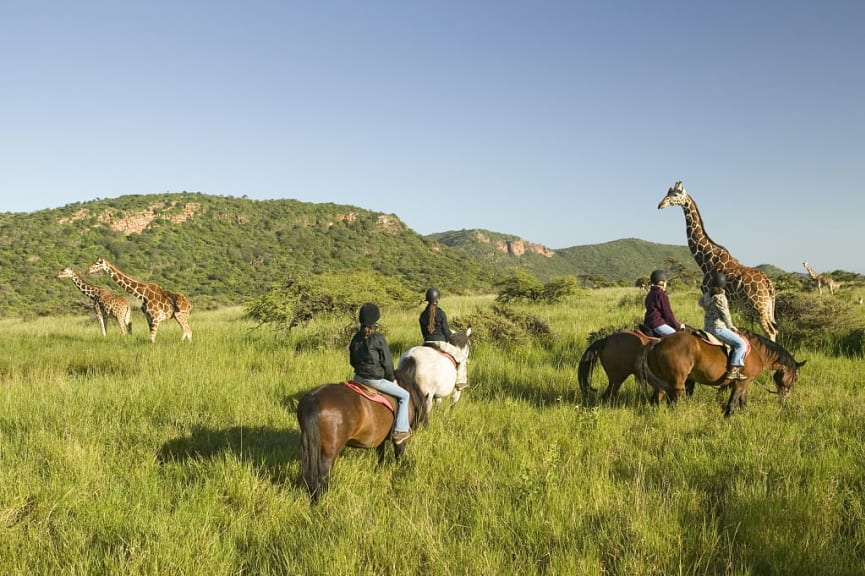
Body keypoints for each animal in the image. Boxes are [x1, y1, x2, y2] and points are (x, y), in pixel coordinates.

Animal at [296, 372, 426, 502]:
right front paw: (397, 470)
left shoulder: (380, 440)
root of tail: (313, 398)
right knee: (322, 475)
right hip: (329, 452)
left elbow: (381, 457)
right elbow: (398, 456)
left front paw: (378, 472)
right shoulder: (401, 440)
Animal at [636, 328, 804, 418]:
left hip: (662, 383)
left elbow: (743, 401)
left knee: (656, 398)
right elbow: (732, 401)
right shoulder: (740, 383)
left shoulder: (744, 383)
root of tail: (658, 342)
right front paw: (727, 417)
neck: (757, 352)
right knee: (673, 401)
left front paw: (744, 414)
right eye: (795, 377)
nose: (785, 397)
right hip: (677, 383)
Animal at [660, 182, 780, 340]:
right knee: (775, 330)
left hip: (758, 308)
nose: (660, 205)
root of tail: (768, 285)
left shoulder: (707, 293)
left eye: (674, 194)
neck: (706, 259)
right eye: (667, 193)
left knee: (770, 331)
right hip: (766, 308)